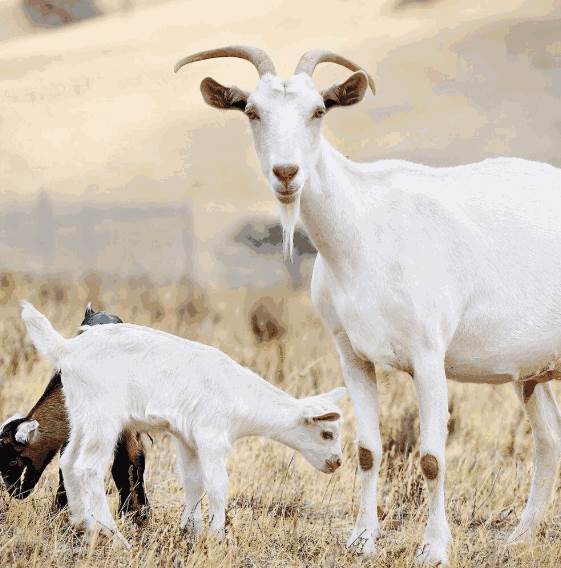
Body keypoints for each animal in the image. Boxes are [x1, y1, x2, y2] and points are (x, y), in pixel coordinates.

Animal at [175, 46, 560, 564]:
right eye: (252, 111)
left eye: (319, 110)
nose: (286, 173)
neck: (364, 233)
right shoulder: (351, 354)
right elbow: (367, 451)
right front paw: (362, 539)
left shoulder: (428, 356)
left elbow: (432, 457)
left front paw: (433, 548)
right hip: (532, 371)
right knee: (548, 439)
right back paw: (519, 537)